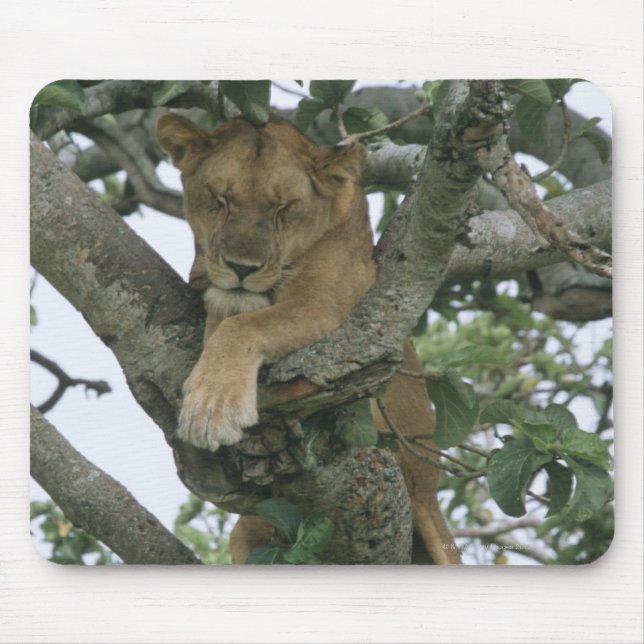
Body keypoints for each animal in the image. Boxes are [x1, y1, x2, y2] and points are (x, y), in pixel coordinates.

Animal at [156, 112, 460, 565]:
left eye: (283, 208)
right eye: (221, 199)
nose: (241, 268)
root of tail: (427, 494)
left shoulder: (331, 308)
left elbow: (243, 326)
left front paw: (210, 410)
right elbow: (225, 315)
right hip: (246, 531)